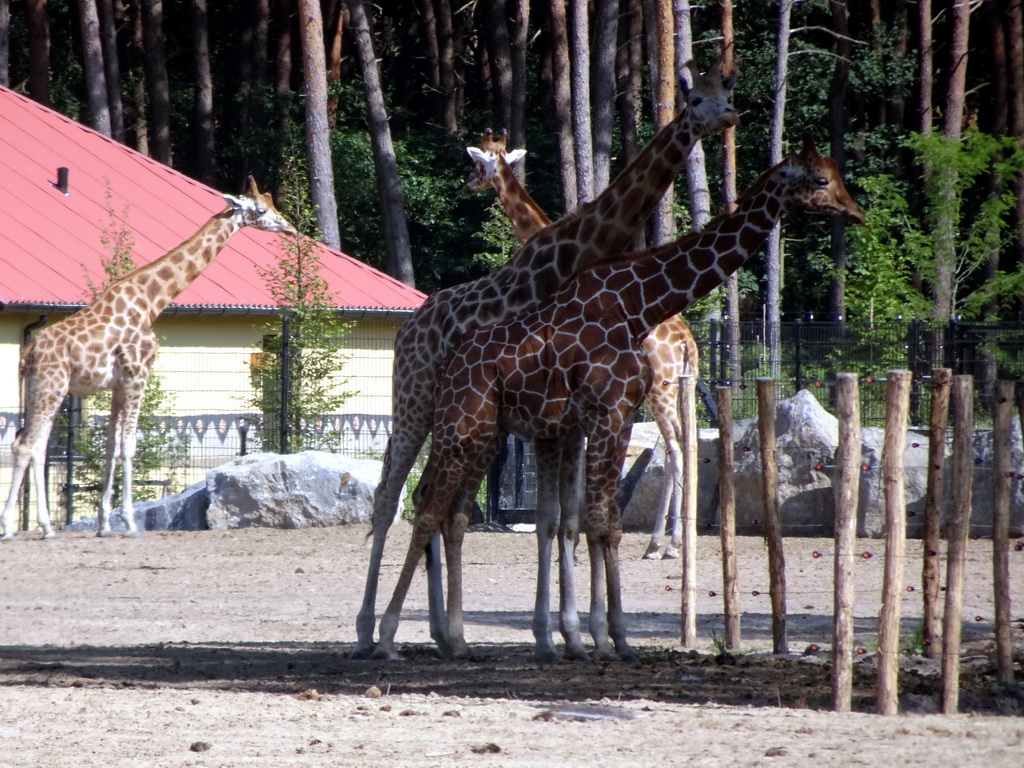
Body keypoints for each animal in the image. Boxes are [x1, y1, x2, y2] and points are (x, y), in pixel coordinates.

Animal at [0, 179, 296, 540]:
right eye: (263, 209)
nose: (290, 228)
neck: (150, 302)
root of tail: (28, 353)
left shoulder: (117, 384)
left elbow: (111, 446)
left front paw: (104, 525)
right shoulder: (137, 375)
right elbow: (129, 445)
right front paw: (128, 522)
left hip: (38, 388)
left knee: (33, 445)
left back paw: (46, 526)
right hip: (50, 387)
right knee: (26, 445)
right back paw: (10, 527)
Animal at [466, 132, 700, 561]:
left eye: (477, 164)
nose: (467, 185)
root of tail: (686, 343)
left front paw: (570, 545)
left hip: (659, 388)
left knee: (675, 448)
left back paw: (662, 544)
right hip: (679, 385)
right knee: (685, 444)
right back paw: (672, 542)